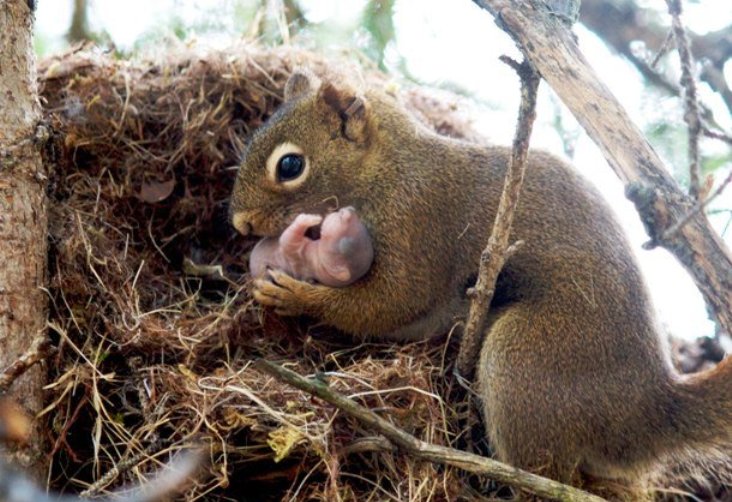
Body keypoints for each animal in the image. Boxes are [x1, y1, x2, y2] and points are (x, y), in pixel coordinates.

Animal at [230, 70, 732, 498]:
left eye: (290, 165)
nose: (239, 223)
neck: (386, 171)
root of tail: (650, 408)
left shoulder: (418, 222)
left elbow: (389, 303)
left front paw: (295, 295)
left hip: (526, 358)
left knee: (549, 474)